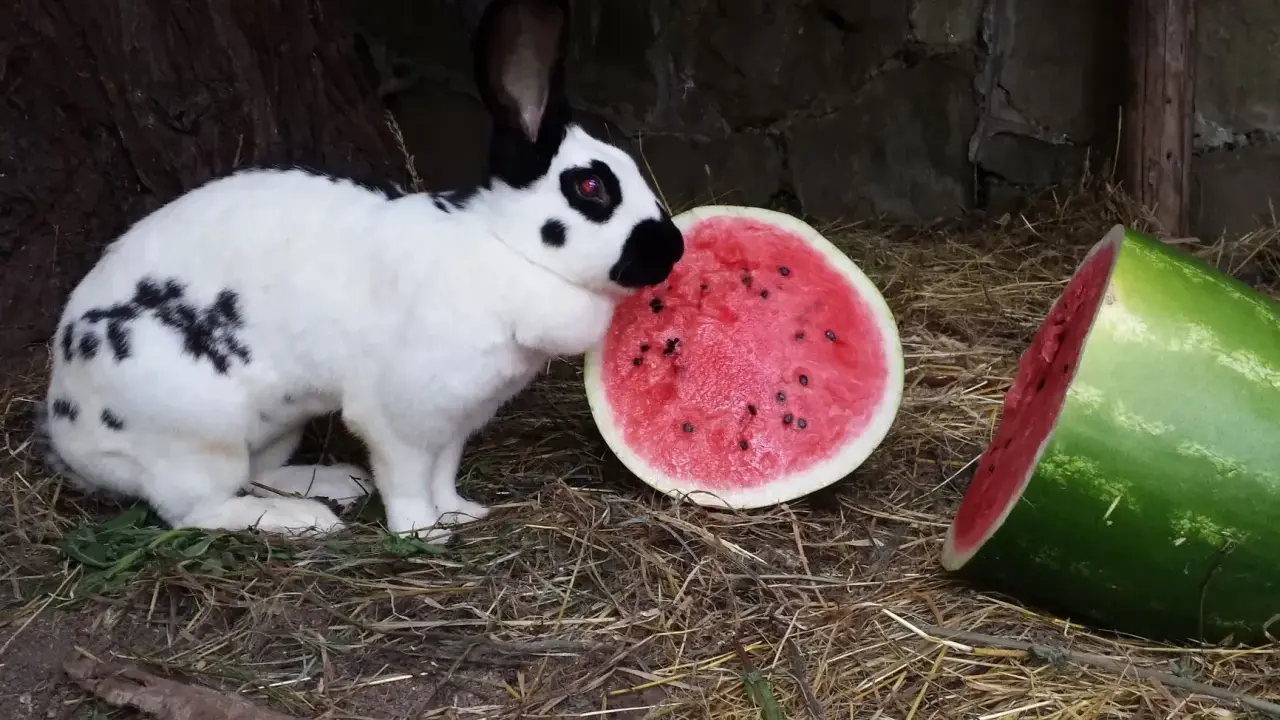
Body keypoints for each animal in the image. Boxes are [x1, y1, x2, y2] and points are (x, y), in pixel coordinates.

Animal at [34, 0, 684, 543]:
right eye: (592, 187)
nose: (673, 248)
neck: (504, 248)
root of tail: (70, 433)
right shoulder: (400, 414)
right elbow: (407, 476)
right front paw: (423, 532)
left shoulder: (457, 421)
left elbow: (443, 472)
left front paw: (460, 512)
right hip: (195, 433)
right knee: (201, 510)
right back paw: (304, 520)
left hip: (276, 424)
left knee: (258, 472)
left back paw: (334, 483)